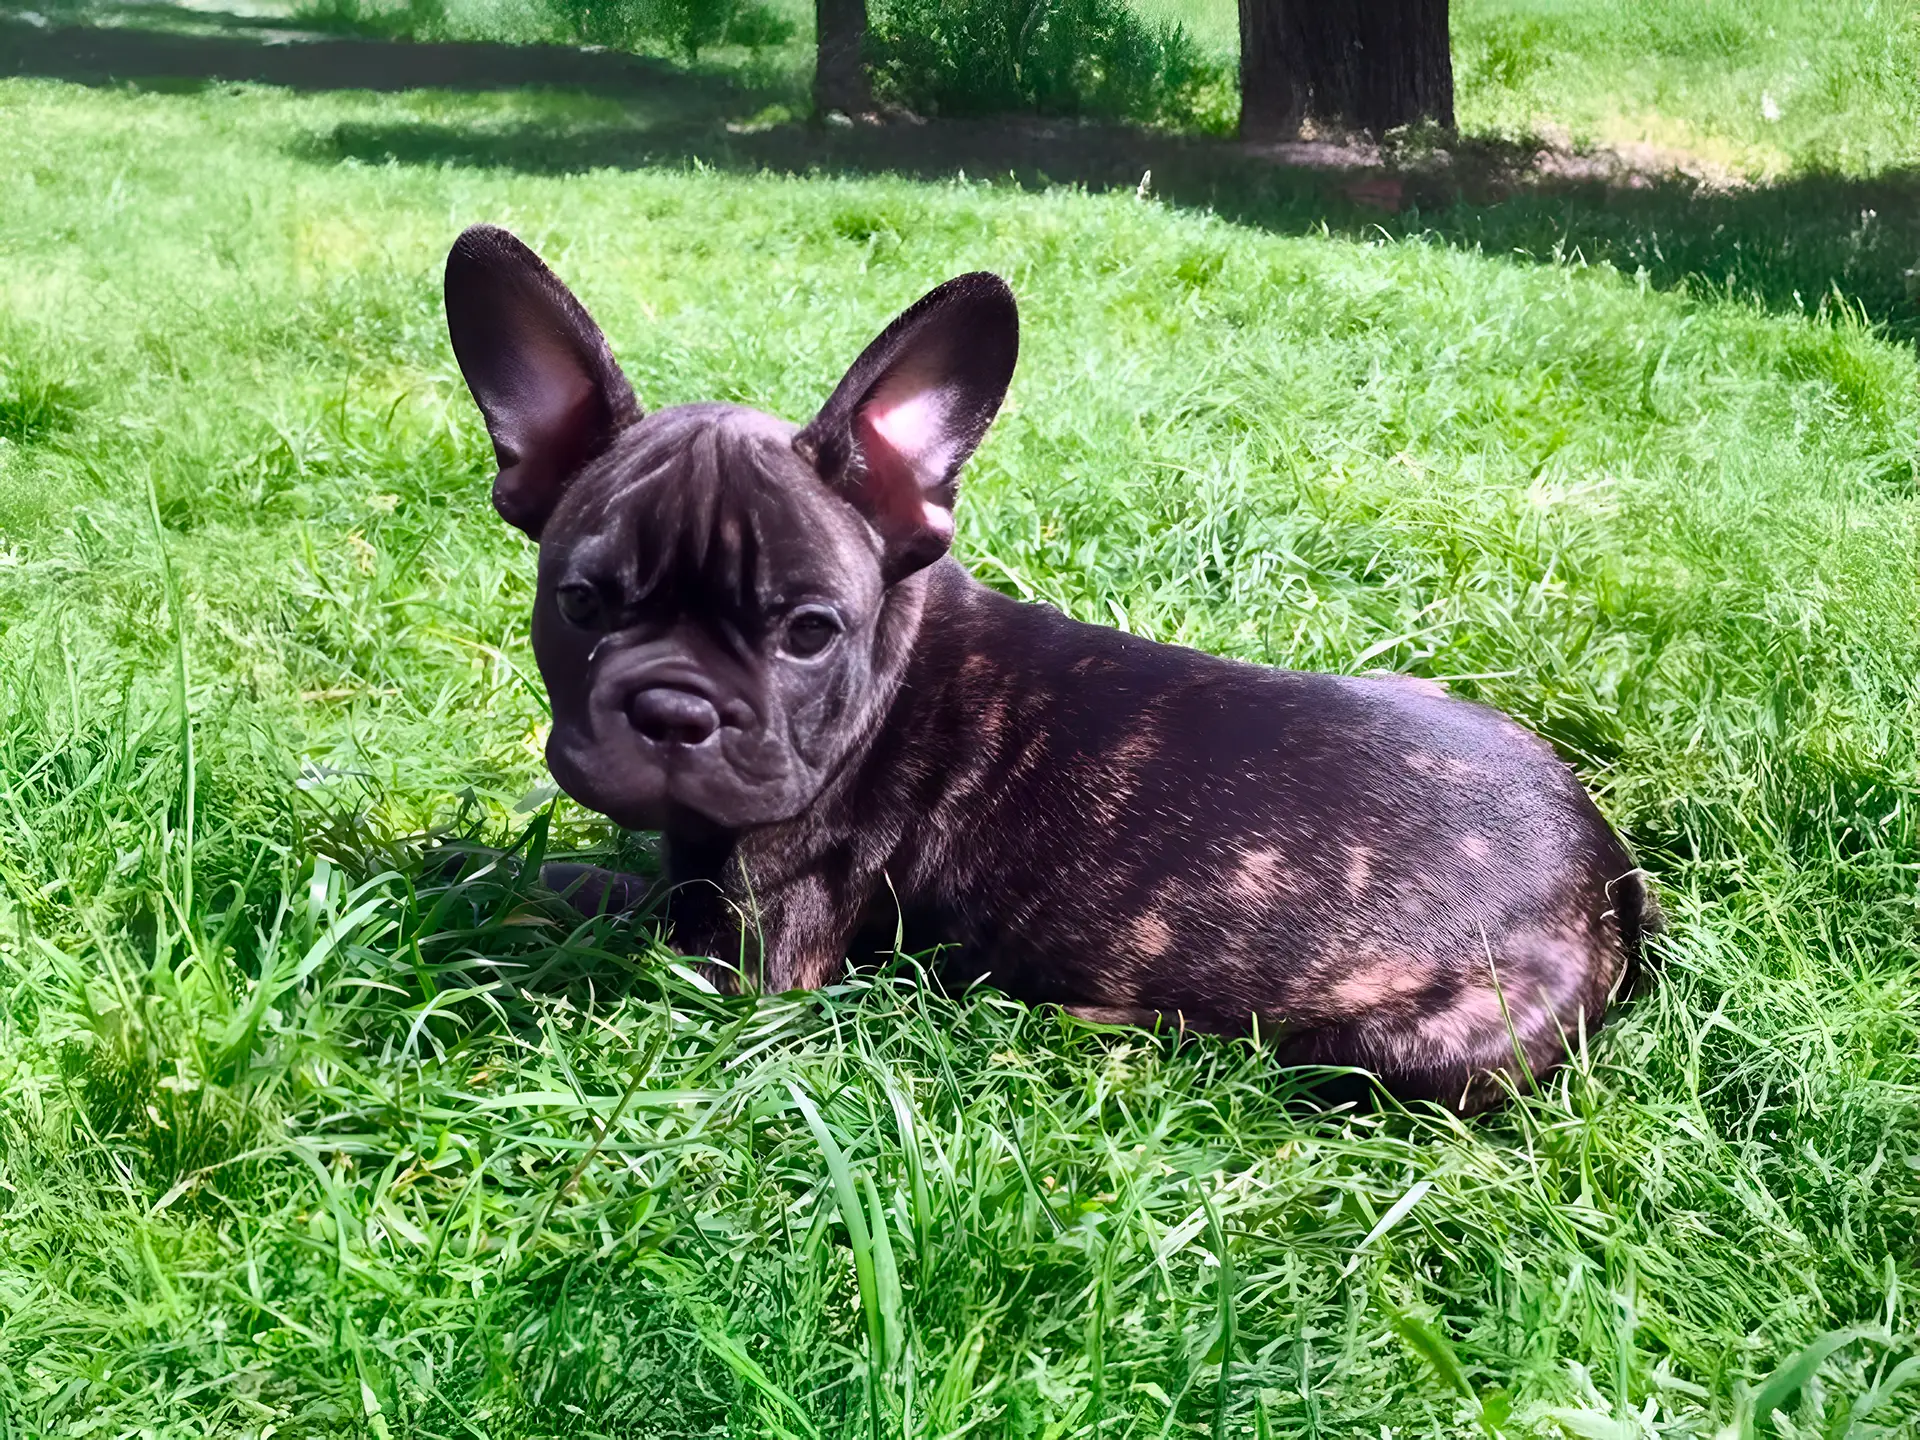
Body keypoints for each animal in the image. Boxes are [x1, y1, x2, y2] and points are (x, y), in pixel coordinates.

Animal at [445, 225, 1651, 1113]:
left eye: (809, 632)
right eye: (581, 605)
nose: (671, 708)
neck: (889, 675)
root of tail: (1608, 871)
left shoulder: (746, 960)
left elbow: (595, 907)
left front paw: (478, 881)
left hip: (1417, 1044)